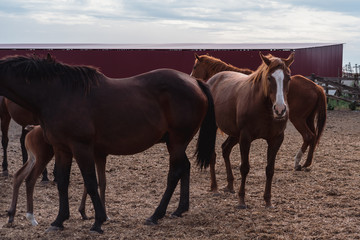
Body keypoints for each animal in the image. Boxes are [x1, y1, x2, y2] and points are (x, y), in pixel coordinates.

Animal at [0, 54, 217, 232]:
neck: (58, 94)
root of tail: (195, 82)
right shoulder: (62, 149)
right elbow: (62, 182)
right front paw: (59, 220)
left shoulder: (81, 147)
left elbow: (90, 182)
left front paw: (98, 222)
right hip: (176, 143)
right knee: (185, 167)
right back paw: (179, 209)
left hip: (177, 141)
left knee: (175, 173)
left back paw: (156, 215)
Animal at [191, 54, 326, 193]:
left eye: (195, 66)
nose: (192, 78)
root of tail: (317, 87)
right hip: (308, 119)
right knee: (314, 136)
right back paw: (306, 163)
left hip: (298, 119)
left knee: (308, 136)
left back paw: (298, 161)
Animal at [201, 52, 294, 208]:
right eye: (269, 78)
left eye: (288, 77)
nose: (280, 110)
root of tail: (213, 80)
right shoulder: (245, 137)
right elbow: (244, 167)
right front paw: (241, 200)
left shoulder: (276, 139)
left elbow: (270, 170)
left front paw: (268, 201)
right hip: (215, 129)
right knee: (213, 155)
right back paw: (214, 187)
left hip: (234, 134)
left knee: (225, 149)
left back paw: (230, 185)